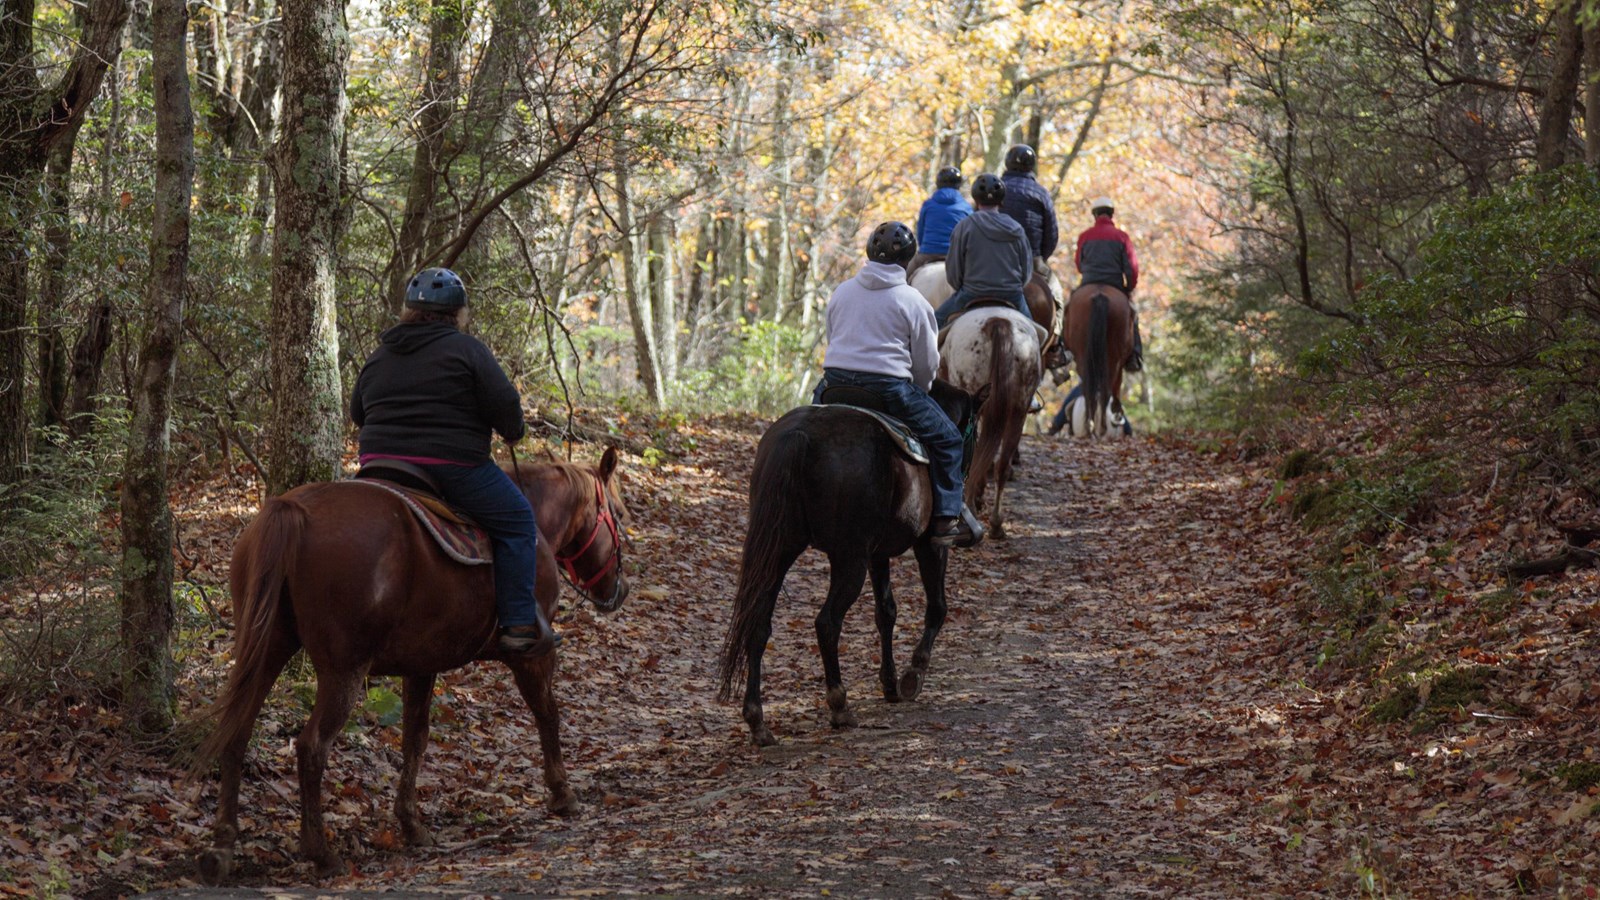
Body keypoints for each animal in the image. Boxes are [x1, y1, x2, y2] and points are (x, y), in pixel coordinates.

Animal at [193, 445, 630, 877]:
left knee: (236, 731)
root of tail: (292, 509)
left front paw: (411, 824)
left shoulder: (422, 664)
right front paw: (562, 793)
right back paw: (321, 852)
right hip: (343, 669)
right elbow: (547, 713)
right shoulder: (532, 656)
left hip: (266, 649)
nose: (619, 590)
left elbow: (414, 739)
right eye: (621, 514)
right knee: (312, 745)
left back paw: (222, 847)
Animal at [1062, 280, 1139, 435]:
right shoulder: (1119, 362)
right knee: (1107, 387)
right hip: (1113, 358)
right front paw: (1116, 411)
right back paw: (1103, 425)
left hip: (1082, 355)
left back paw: (1090, 425)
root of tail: (1100, 295)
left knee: (1088, 386)